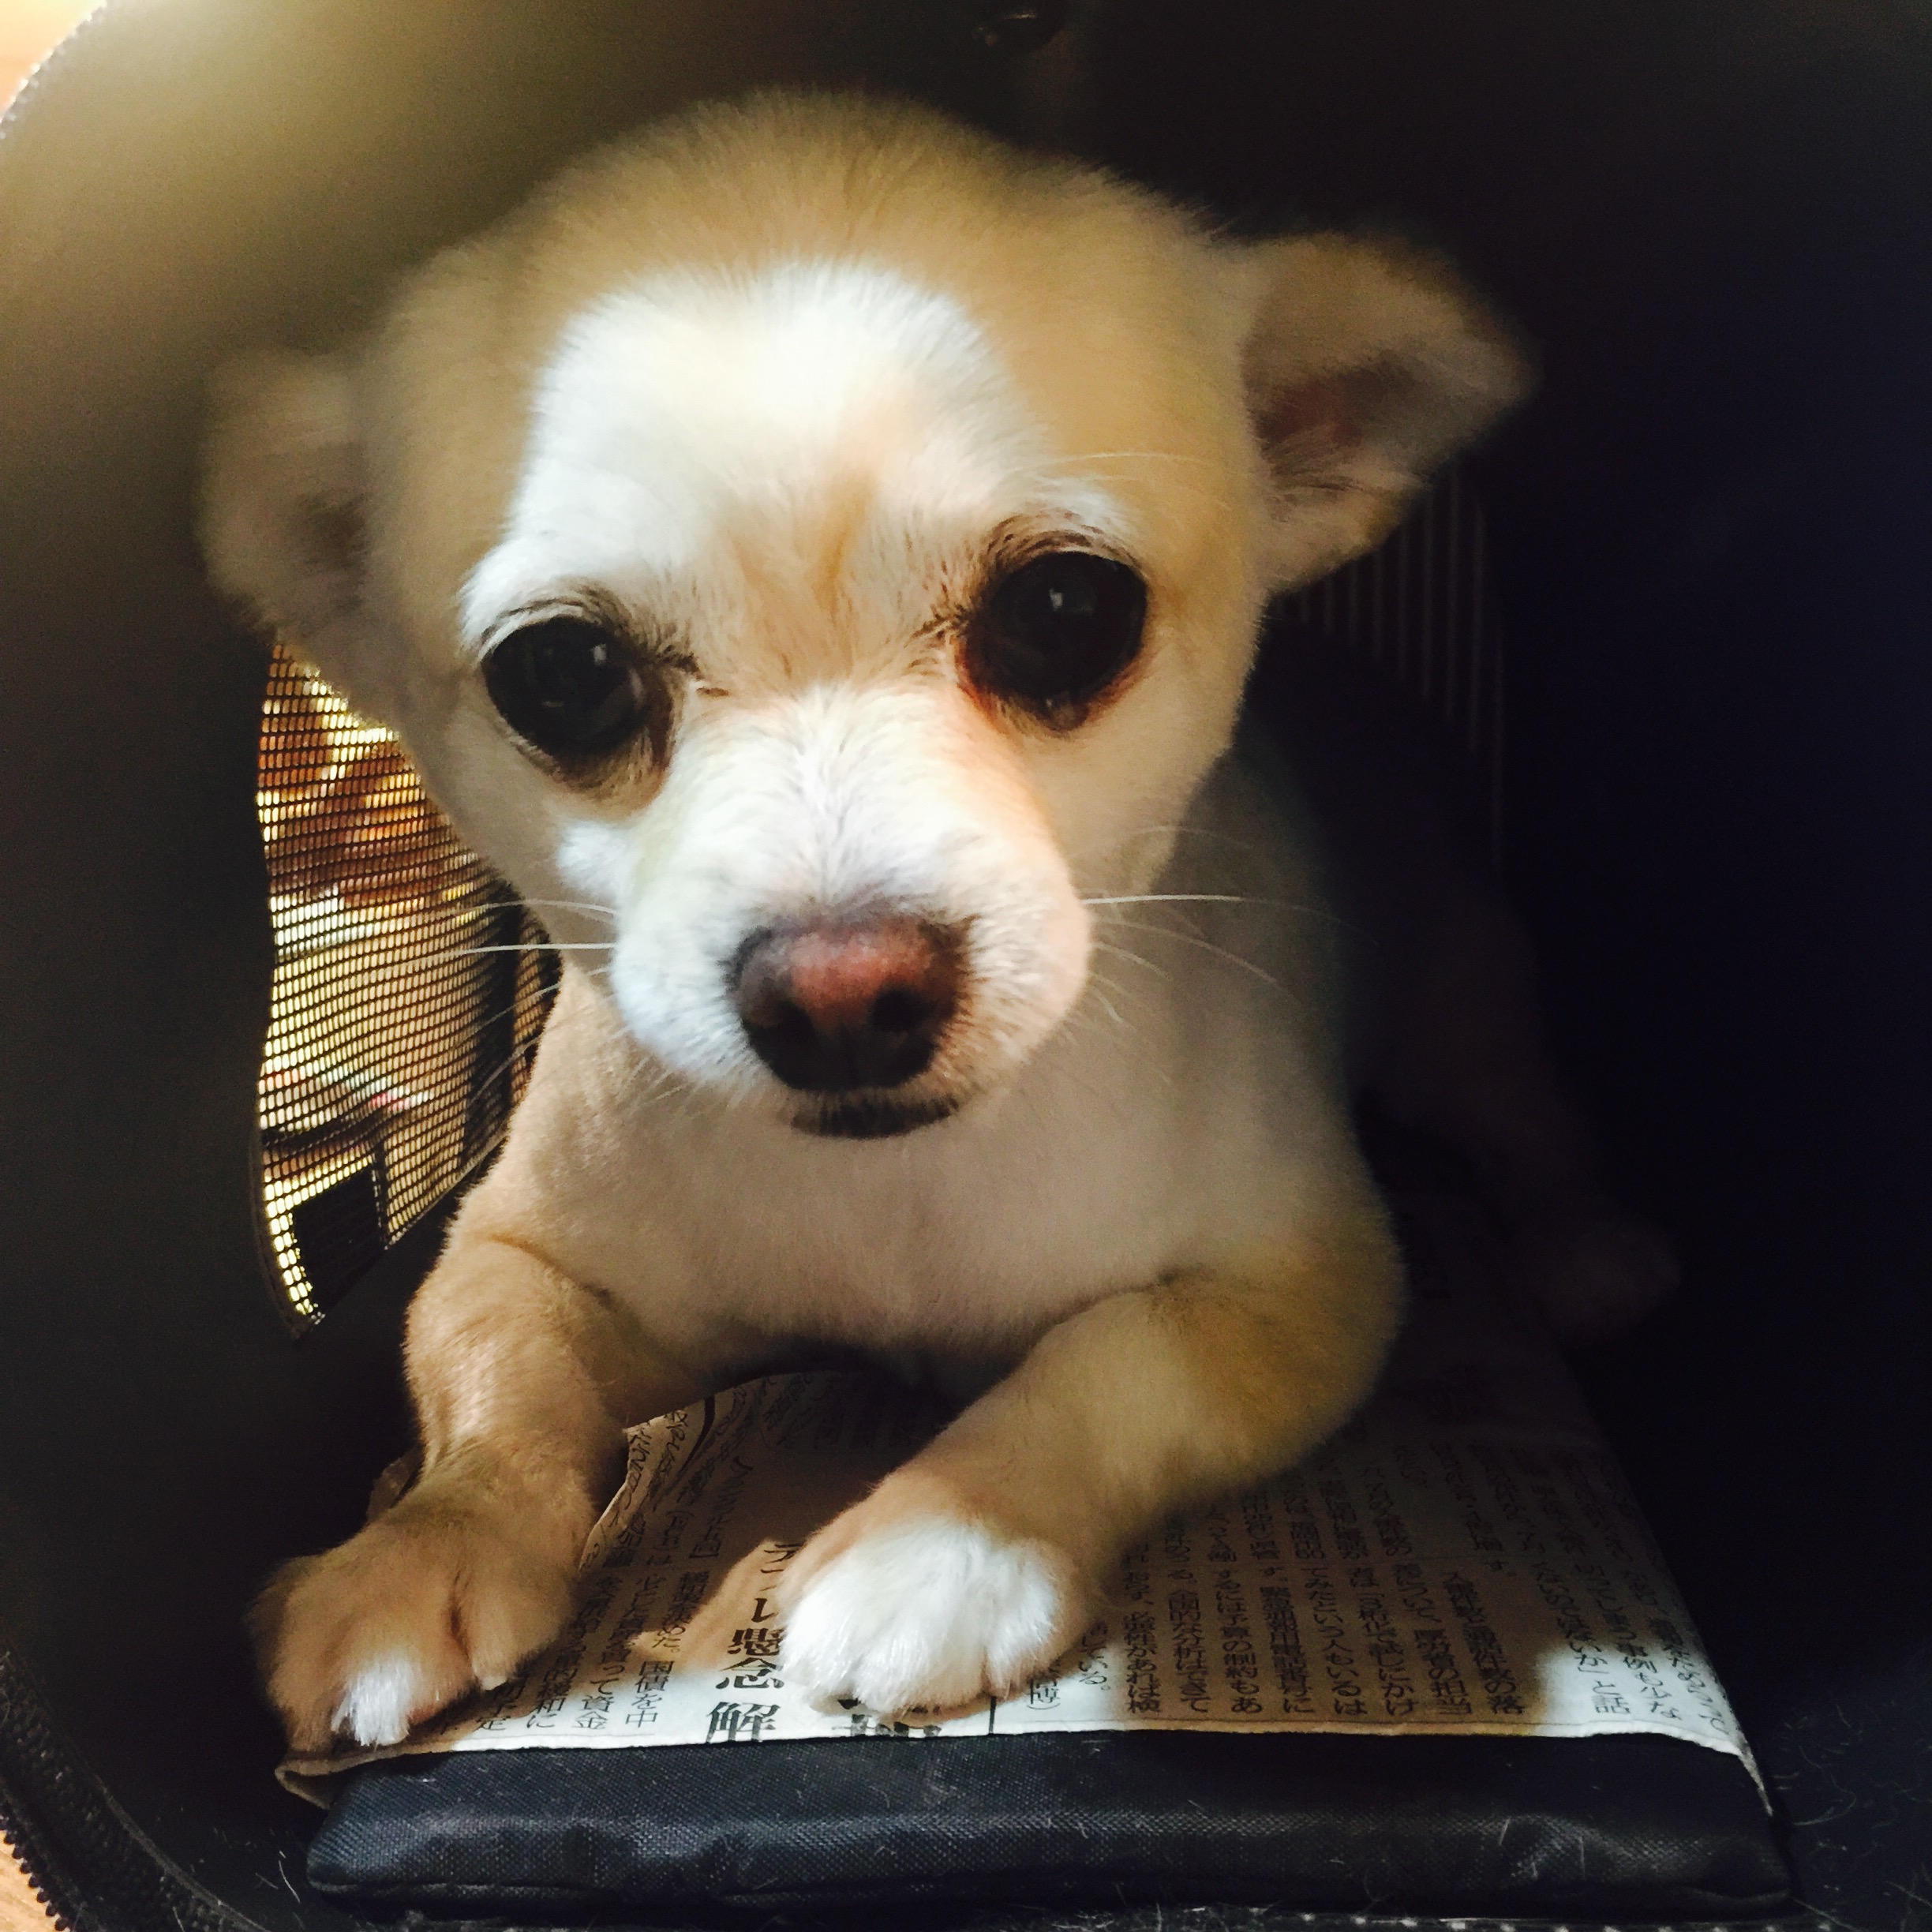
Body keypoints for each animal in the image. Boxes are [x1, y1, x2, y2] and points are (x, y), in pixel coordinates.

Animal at [201, 91, 1672, 1751]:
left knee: (1529, 1125)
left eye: (1064, 611)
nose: (842, 991)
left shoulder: (1299, 1286)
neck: (894, 1193)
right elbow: (487, 1367)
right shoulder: (520, 1252)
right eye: (560, 674)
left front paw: (946, 1537)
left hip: (1469, 1016)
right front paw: (425, 1539)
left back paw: (1587, 1250)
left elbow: (1109, 1358)